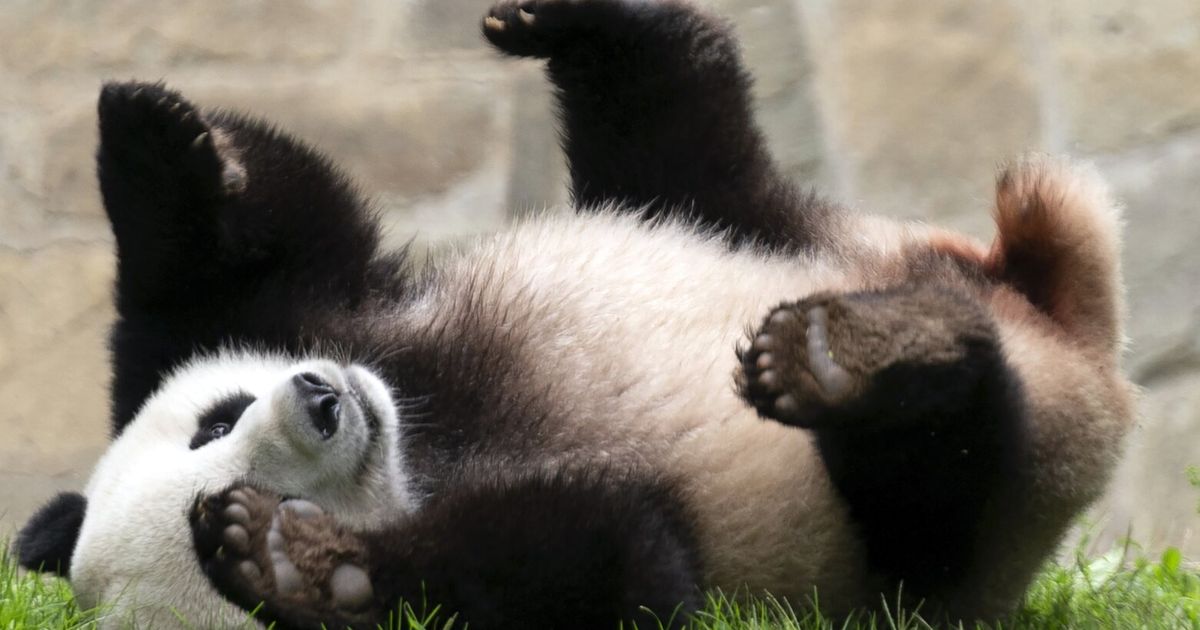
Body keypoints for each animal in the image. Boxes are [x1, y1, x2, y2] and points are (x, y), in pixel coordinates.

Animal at [14, 0, 1135, 628]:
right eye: (237, 472)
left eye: (215, 420)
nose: (324, 401)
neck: (425, 440)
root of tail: (1065, 330)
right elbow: (619, 568)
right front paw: (302, 566)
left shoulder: (333, 316)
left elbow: (262, 255)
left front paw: (153, 141)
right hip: (944, 542)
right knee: (943, 479)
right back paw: (859, 362)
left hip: (775, 227)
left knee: (682, 135)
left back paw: (586, 25)